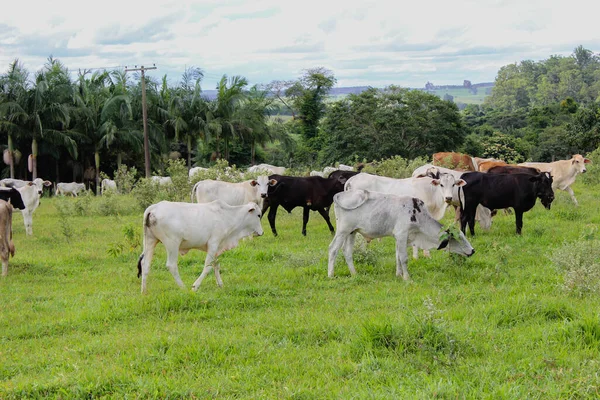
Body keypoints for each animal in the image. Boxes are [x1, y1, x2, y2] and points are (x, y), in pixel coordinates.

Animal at [328, 191, 474, 282]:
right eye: (459, 238)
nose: (473, 251)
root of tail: (339, 194)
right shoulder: (402, 234)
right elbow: (403, 258)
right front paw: (407, 278)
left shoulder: (398, 237)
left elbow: (397, 256)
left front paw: (398, 275)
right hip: (342, 231)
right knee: (333, 249)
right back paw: (331, 275)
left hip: (351, 232)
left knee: (347, 252)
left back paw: (354, 273)